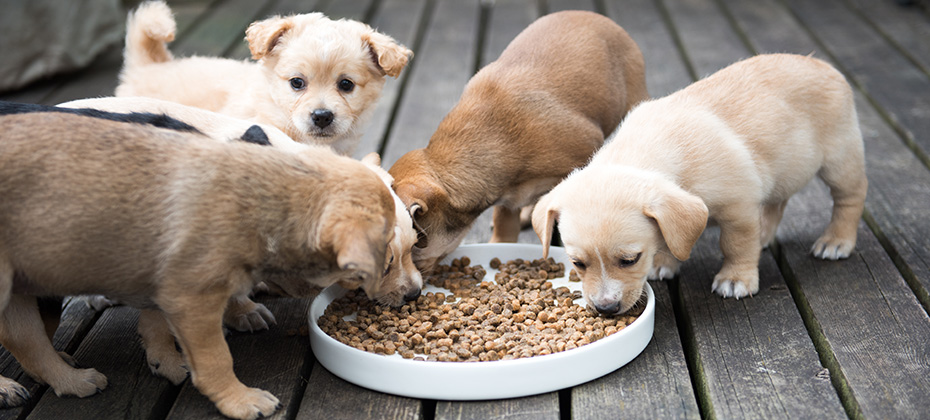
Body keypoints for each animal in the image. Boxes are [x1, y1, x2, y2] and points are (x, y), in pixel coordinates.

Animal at [0, 110, 396, 418]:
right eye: (387, 258)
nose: (406, 295)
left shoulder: (164, 282)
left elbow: (156, 324)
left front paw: (167, 361)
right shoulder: (192, 299)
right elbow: (215, 358)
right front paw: (238, 399)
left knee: (27, 342)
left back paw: (69, 379)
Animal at [532, 53, 868, 316]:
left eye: (630, 260)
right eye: (577, 263)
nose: (606, 309)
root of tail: (822, 64)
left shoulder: (738, 210)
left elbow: (735, 245)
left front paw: (736, 279)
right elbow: (670, 235)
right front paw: (664, 262)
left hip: (840, 159)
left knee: (851, 197)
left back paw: (836, 241)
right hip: (785, 169)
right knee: (777, 203)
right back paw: (765, 236)